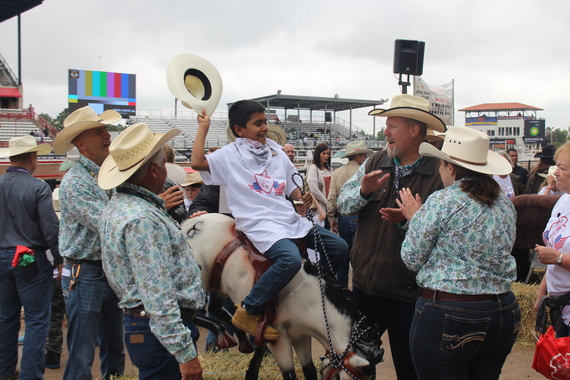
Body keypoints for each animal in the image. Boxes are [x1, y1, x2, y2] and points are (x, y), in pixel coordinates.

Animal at [180, 214, 380, 380]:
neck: (309, 299)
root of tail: (187, 224)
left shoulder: (301, 336)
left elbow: (309, 370)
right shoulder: (280, 341)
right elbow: (290, 375)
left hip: (218, 288)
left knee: (215, 309)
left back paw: (239, 336)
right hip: (197, 284)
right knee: (189, 315)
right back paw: (224, 335)